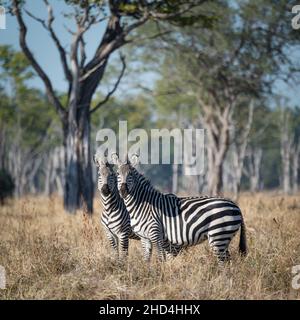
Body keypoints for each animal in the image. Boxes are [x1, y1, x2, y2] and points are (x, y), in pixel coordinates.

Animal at [112, 154, 246, 262]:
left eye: (130, 175)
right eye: (117, 174)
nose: (123, 191)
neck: (141, 205)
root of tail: (235, 205)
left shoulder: (156, 233)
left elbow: (160, 258)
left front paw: (160, 274)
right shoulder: (145, 238)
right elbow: (146, 259)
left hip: (219, 235)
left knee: (223, 262)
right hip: (223, 238)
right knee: (228, 260)